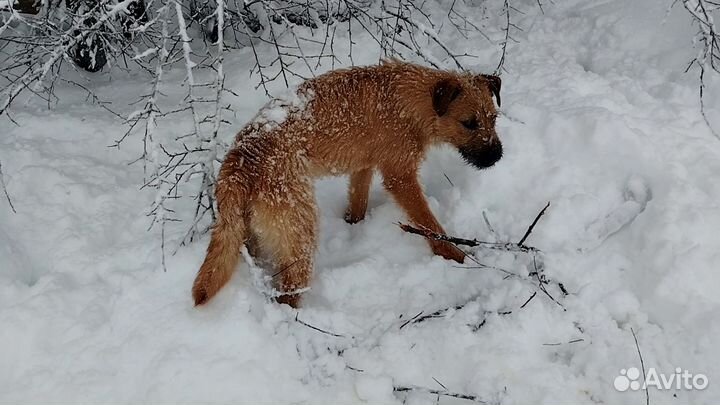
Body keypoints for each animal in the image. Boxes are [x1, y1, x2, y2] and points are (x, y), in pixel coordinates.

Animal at [194, 60, 504, 306]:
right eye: (469, 123)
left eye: (493, 118)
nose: (497, 156)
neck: (410, 101)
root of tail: (238, 163)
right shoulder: (400, 177)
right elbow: (429, 223)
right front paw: (455, 256)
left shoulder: (362, 168)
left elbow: (358, 202)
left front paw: (354, 225)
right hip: (299, 229)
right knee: (290, 290)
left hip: (255, 230)